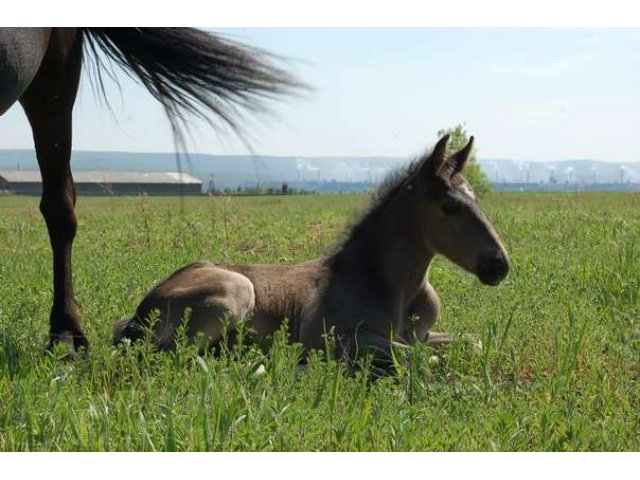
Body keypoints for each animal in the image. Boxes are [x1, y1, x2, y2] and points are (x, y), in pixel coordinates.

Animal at [114, 136, 510, 368]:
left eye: (476, 198)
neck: (390, 285)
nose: (499, 264)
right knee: (174, 359)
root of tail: (139, 311)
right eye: (450, 206)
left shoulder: (423, 334)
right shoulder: (334, 338)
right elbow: (422, 359)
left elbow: (469, 343)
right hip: (235, 290)